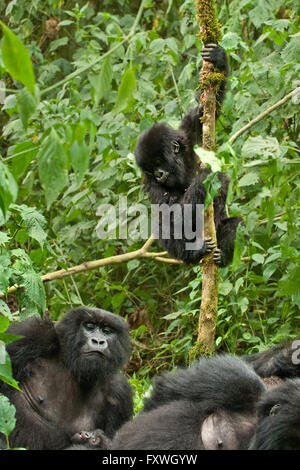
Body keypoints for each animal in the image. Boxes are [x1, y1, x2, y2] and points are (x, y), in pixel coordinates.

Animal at [0, 306, 132, 450]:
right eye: (89, 326)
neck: (71, 365)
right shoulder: (32, 333)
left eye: (107, 331)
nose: (98, 341)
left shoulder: (120, 393)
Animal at [135, 44, 243, 268]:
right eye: (150, 170)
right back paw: (194, 253)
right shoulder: (152, 185)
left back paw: (222, 257)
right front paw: (204, 178)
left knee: (237, 223)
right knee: (162, 224)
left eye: (158, 162)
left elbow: (209, 107)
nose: (158, 174)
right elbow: (176, 216)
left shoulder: (189, 134)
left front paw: (219, 59)